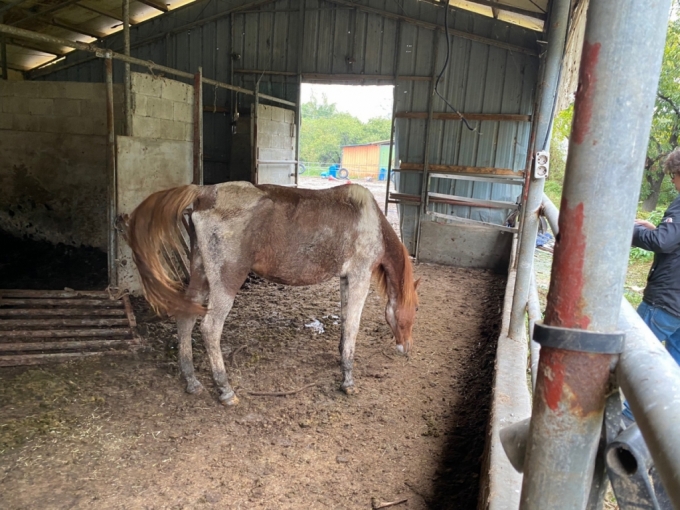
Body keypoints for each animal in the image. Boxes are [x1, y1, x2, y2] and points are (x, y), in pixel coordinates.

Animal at [125, 181, 418, 404]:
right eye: (415, 309)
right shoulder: (359, 277)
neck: (371, 221)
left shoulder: (346, 279)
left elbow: (345, 321)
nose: (407, 348)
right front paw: (347, 380)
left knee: (185, 318)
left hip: (199, 274)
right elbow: (353, 327)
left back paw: (192, 381)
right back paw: (225, 390)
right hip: (226, 281)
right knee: (210, 328)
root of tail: (206, 193)